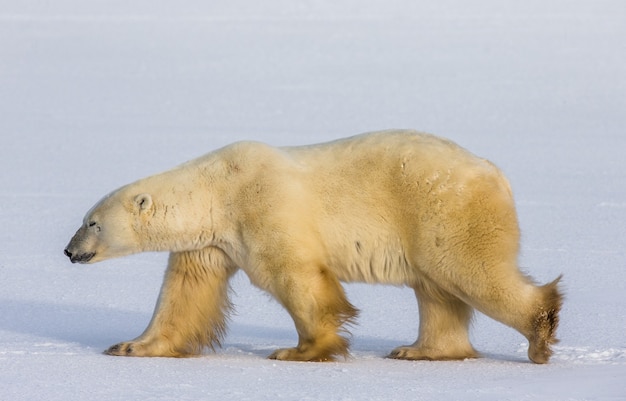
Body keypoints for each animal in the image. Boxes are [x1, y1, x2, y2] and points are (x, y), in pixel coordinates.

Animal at [63, 130, 560, 362]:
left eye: (92, 223)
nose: (69, 250)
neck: (217, 189)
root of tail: (496, 174)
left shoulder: (263, 204)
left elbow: (294, 276)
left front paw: (299, 350)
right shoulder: (211, 242)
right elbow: (184, 293)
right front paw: (129, 346)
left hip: (444, 212)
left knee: (469, 273)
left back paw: (540, 331)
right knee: (438, 291)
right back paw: (418, 349)